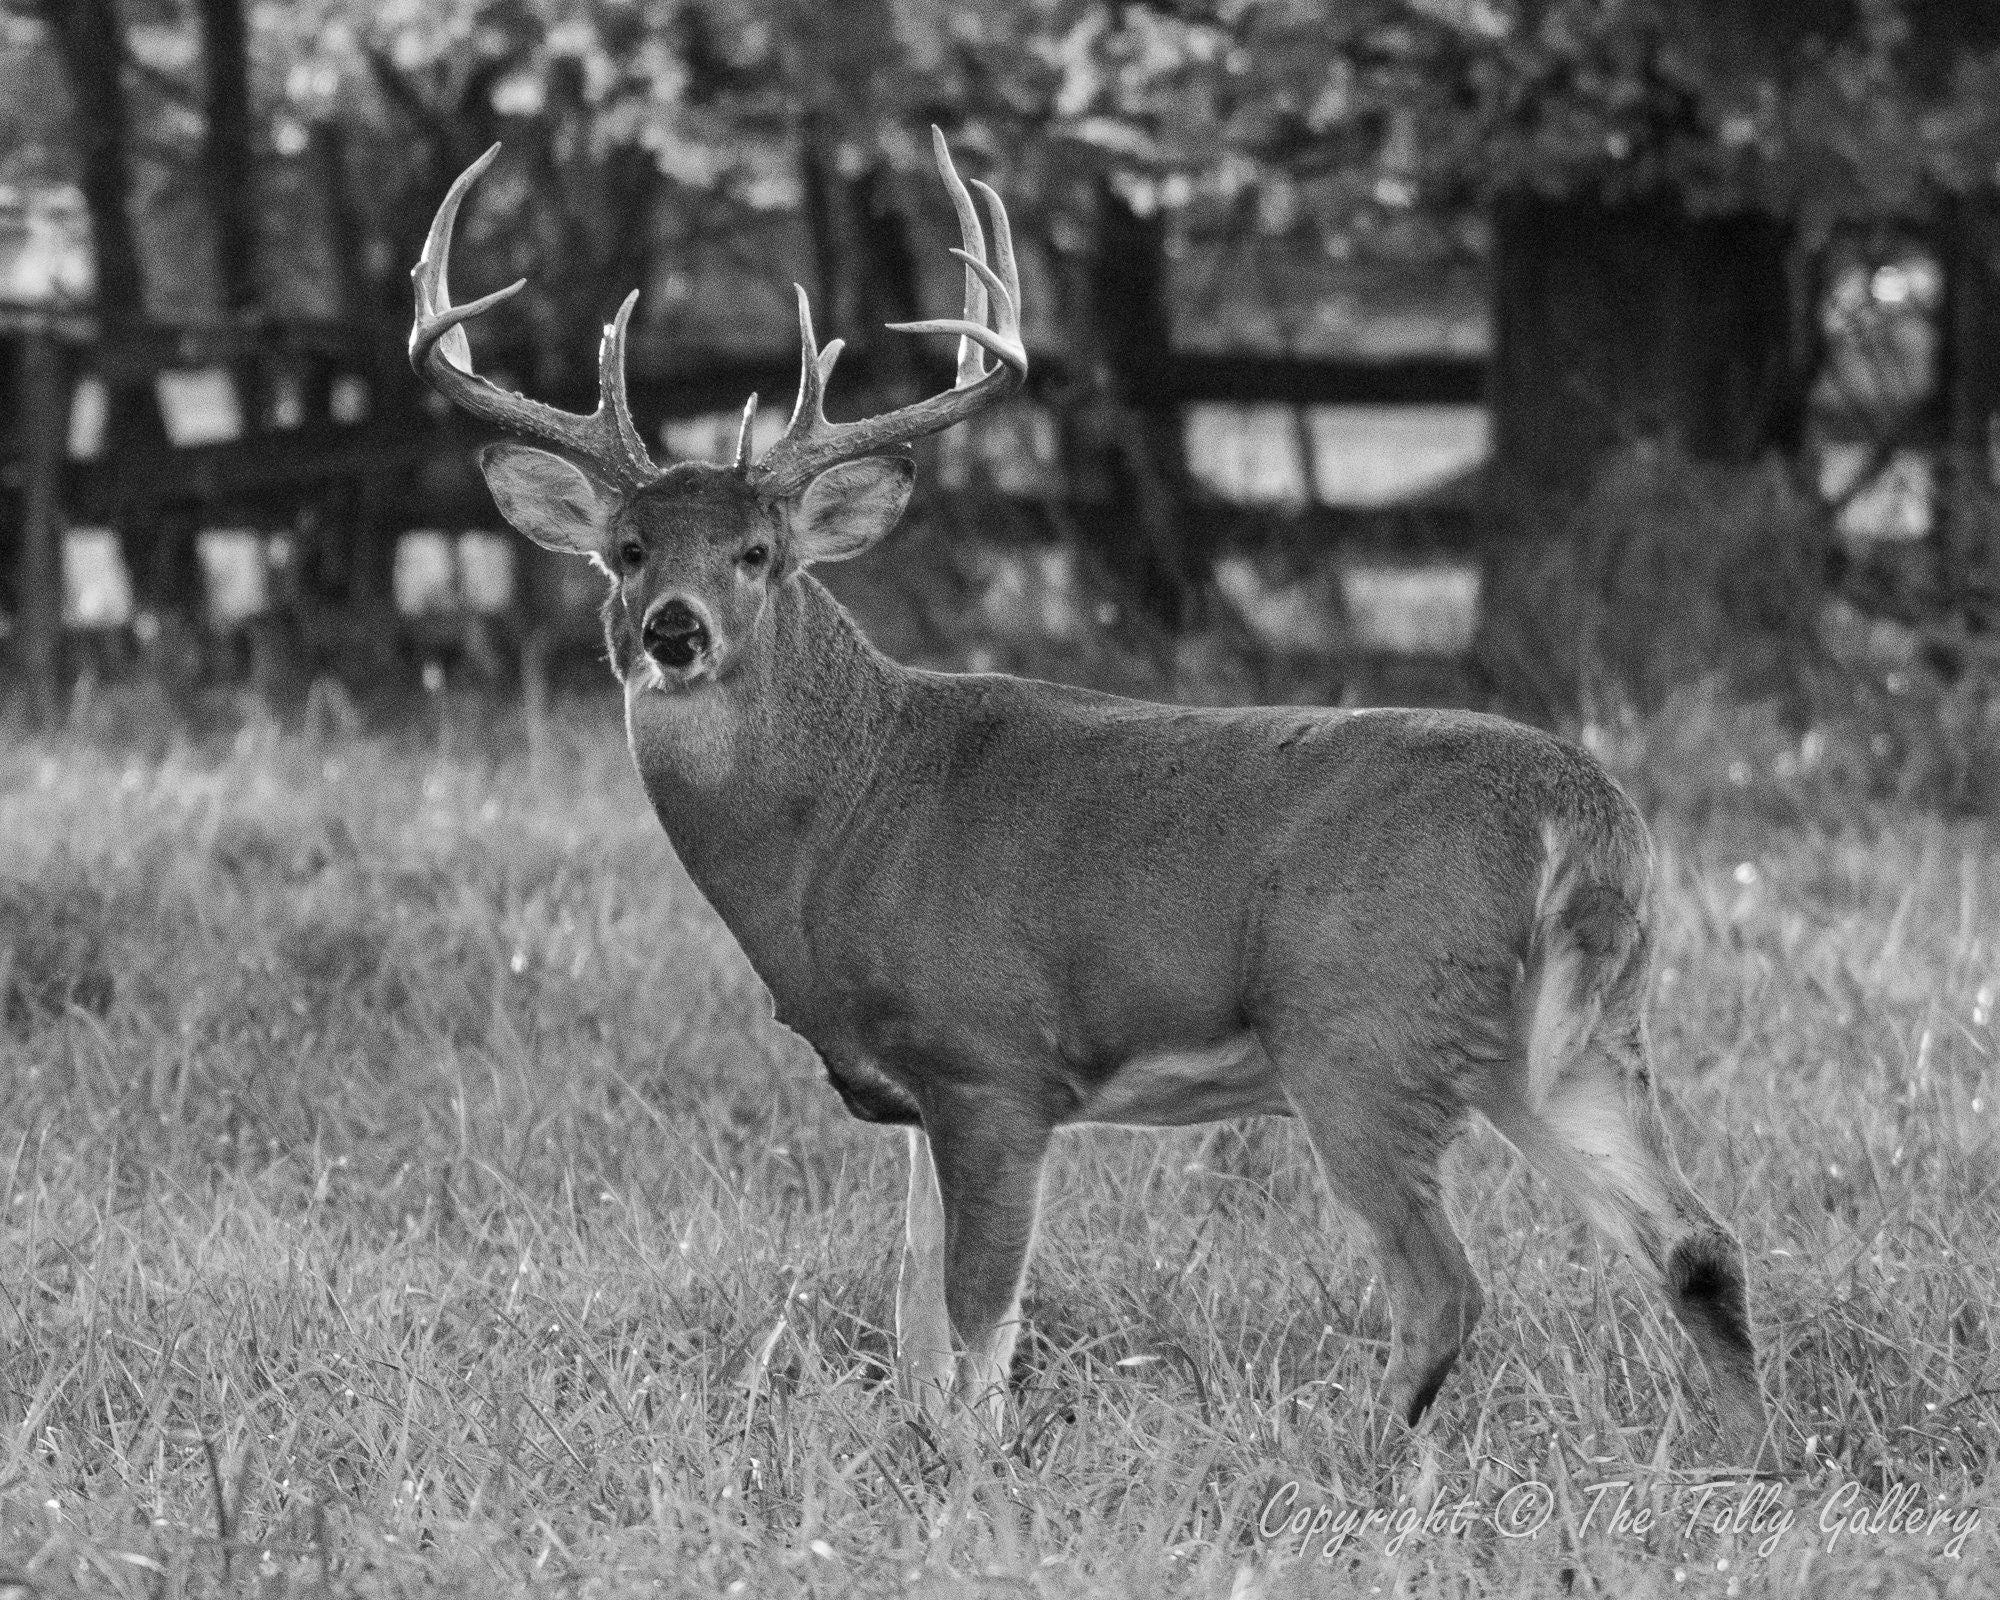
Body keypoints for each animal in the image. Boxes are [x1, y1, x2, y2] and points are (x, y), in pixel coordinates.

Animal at [410, 134, 1768, 1464]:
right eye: (627, 551)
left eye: (757, 553)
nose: (672, 632)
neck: (841, 820)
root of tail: (1585, 818)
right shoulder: (921, 1091)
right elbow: (912, 1326)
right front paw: (923, 1459)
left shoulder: (994, 1062)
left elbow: (977, 1332)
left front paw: (975, 1476)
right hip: (1577, 1041)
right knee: (1696, 1242)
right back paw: (1756, 1457)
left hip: (1359, 1028)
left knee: (1443, 1284)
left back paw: (1333, 1462)